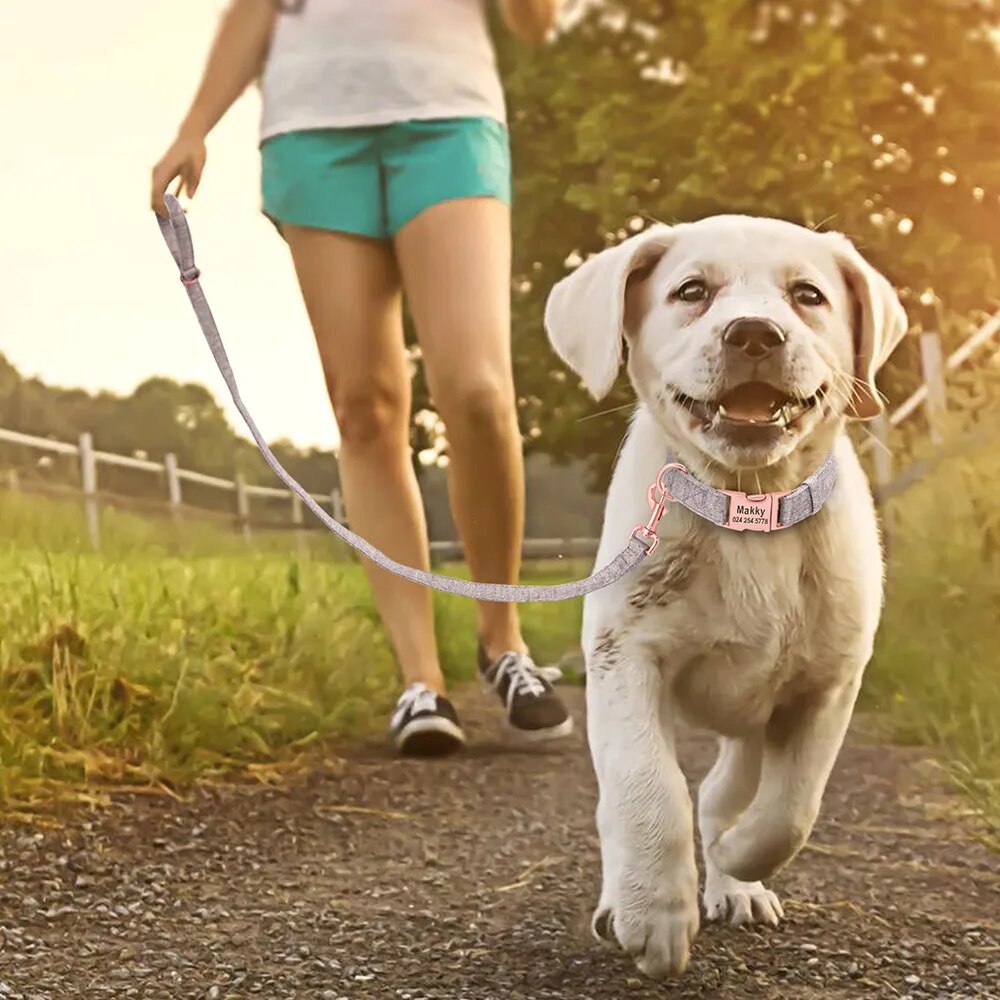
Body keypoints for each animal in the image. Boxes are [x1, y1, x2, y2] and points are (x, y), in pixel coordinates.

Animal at [544, 217, 912, 976]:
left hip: (752, 722)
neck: (750, 511)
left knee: (724, 793)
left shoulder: (828, 686)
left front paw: (741, 860)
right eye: (691, 291)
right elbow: (648, 786)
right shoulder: (624, 658)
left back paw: (733, 879)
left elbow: (792, 809)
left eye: (808, 295)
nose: (754, 333)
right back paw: (623, 899)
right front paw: (655, 912)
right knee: (631, 803)